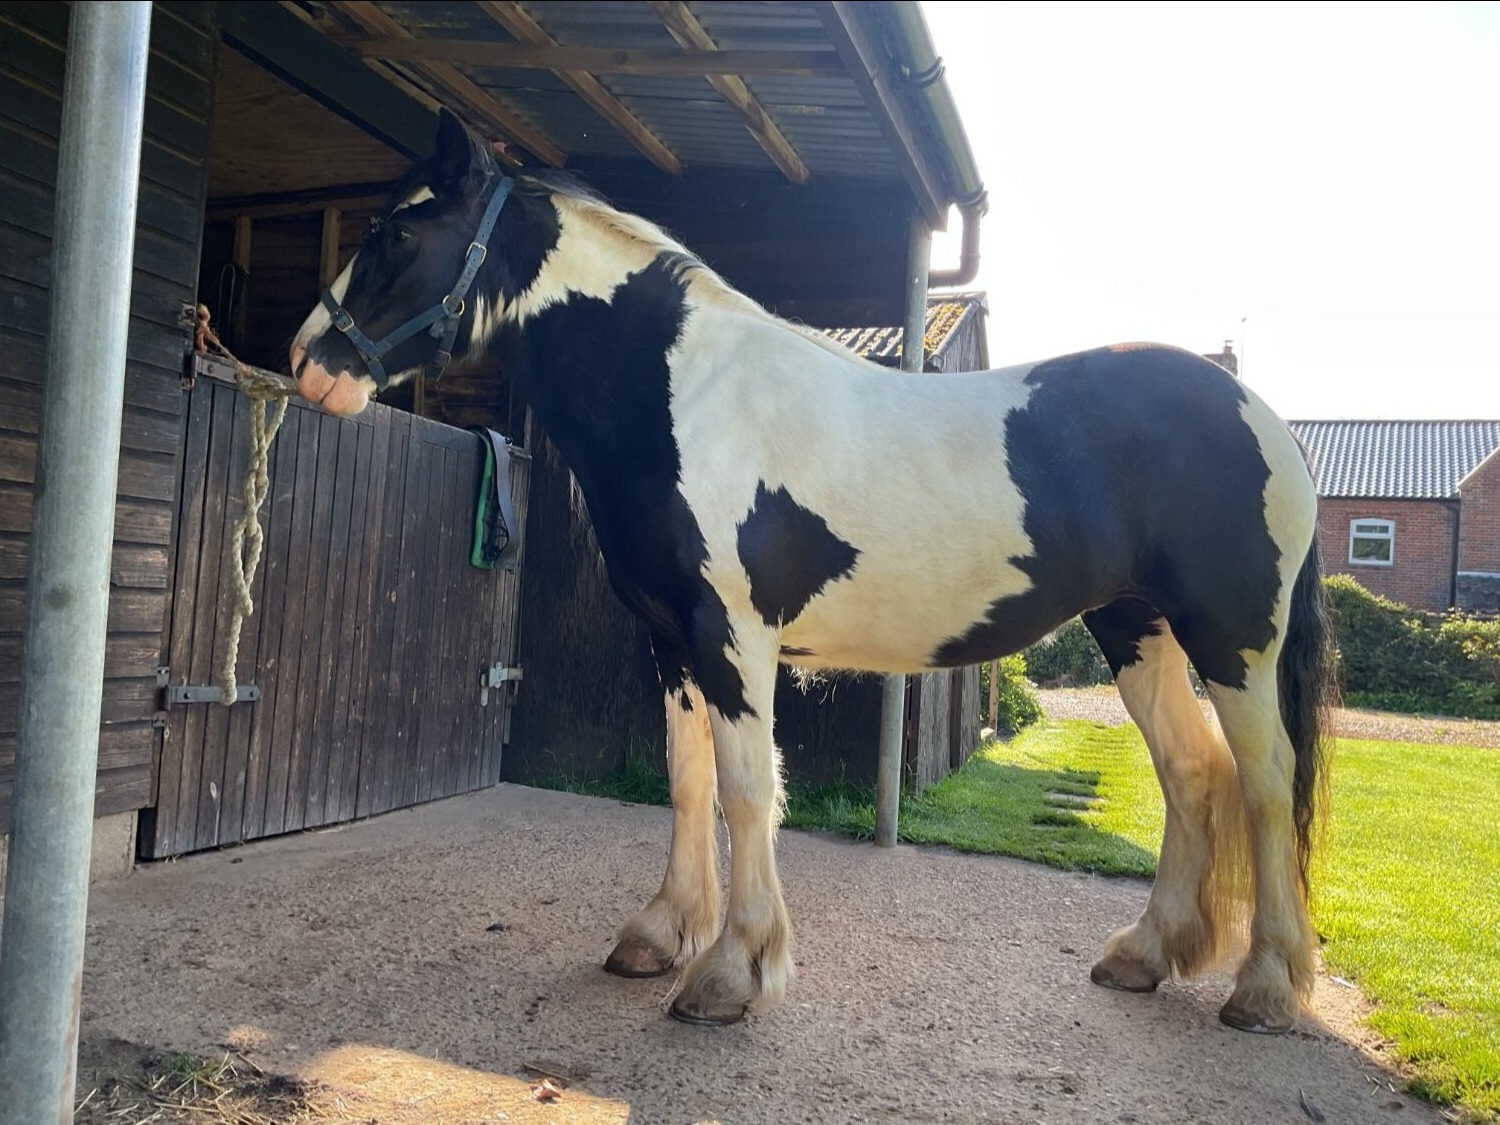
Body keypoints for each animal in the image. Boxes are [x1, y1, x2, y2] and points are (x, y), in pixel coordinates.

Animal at [290, 108, 1334, 1034]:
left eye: (398, 230)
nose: (309, 362)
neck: (686, 395)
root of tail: (1261, 414)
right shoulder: (671, 637)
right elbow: (689, 781)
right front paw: (660, 935)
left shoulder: (732, 634)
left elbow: (749, 788)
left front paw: (729, 972)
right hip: (1136, 627)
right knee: (1191, 770)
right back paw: (1145, 954)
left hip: (1232, 640)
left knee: (1266, 780)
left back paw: (1266, 990)